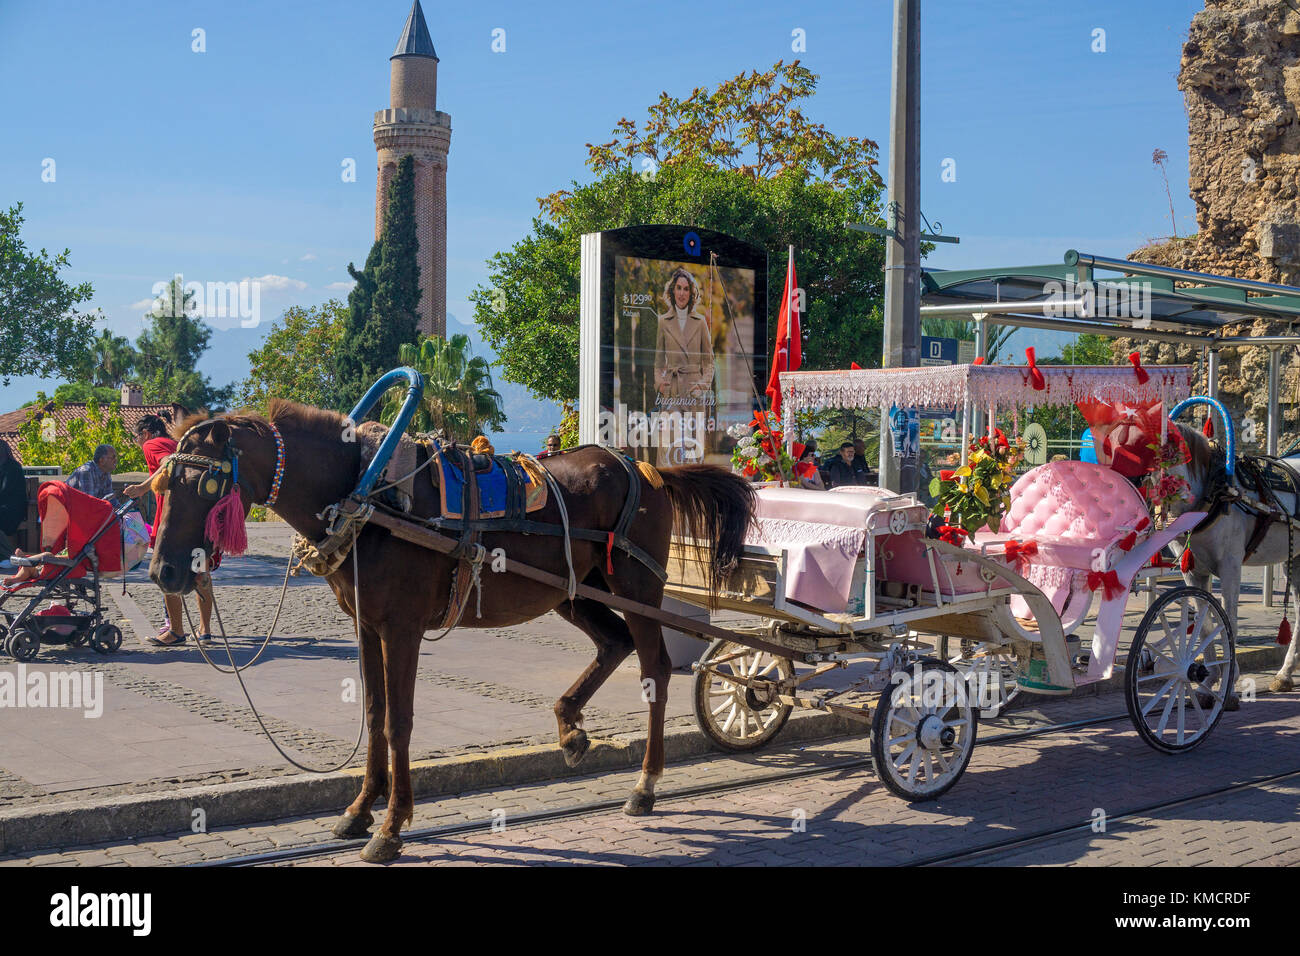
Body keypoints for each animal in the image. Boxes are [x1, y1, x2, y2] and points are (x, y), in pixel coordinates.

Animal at [144, 400, 754, 863]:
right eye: (162, 483)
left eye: (205, 482)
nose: (163, 572)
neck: (365, 491)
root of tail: (648, 471)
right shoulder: (367, 625)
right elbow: (374, 714)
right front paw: (360, 810)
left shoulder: (403, 628)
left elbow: (400, 722)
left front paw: (391, 826)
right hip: (577, 591)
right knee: (613, 644)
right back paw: (570, 729)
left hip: (637, 590)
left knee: (654, 670)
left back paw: (645, 786)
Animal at [1170, 421, 1300, 691]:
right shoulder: (1193, 571)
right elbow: (1205, 621)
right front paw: (1208, 678)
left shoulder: (1230, 565)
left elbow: (1229, 618)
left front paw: (1231, 678)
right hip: (1295, 559)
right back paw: (1285, 673)